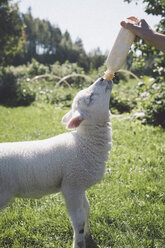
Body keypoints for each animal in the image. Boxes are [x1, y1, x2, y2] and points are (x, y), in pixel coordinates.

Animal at [0, 77, 112, 248]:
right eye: (90, 98)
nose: (103, 78)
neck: (84, 143)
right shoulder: (71, 186)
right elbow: (78, 220)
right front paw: (79, 243)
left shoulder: (79, 185)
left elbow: (86, 210)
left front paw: (87, 235)